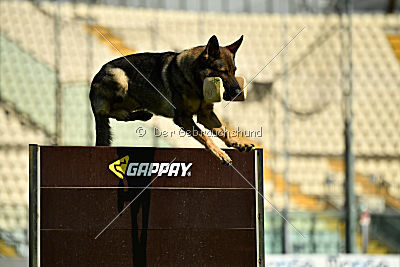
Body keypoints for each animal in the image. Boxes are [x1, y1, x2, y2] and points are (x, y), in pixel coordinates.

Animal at [90, 35, 253, 165]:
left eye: (234, 71)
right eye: (223, 72)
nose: (238, 92)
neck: (195, 80)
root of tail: (94, 81)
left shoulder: (205, 115)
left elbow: (224, 132)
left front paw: (238, 143)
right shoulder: (183, 118)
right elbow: (206, 137)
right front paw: (220, 153)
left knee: (118, 113)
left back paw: (140, 114)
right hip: (121, 80)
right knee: (105, 112)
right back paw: (132, 114)